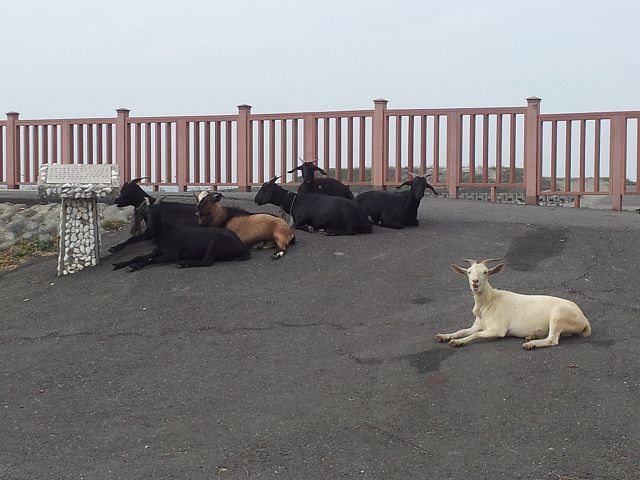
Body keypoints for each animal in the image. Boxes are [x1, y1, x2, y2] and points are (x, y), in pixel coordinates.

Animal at [111, 199, 249, 272]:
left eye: (157, 213)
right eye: (146, 213)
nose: (150, 226)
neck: (164, 233)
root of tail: (242, 246)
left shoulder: (171, 255)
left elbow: (150, 260)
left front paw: (133, 266)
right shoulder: (157, 251)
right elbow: (139, 256)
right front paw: (120, 264)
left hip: (215, 242)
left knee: (207, 262)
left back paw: (184, 263)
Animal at [438, 258, 592, 348]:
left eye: (485, 272)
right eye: (468, 272)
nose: (475, 283)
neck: (489, 301)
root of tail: (584, 319)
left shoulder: (498, 329)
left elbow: (476, 335)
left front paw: (458, 342)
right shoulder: (477, 325)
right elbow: (462, 331)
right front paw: (444, 336)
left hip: (558, 316)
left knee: (552, 340)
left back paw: (531, 344)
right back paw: (531, 336)